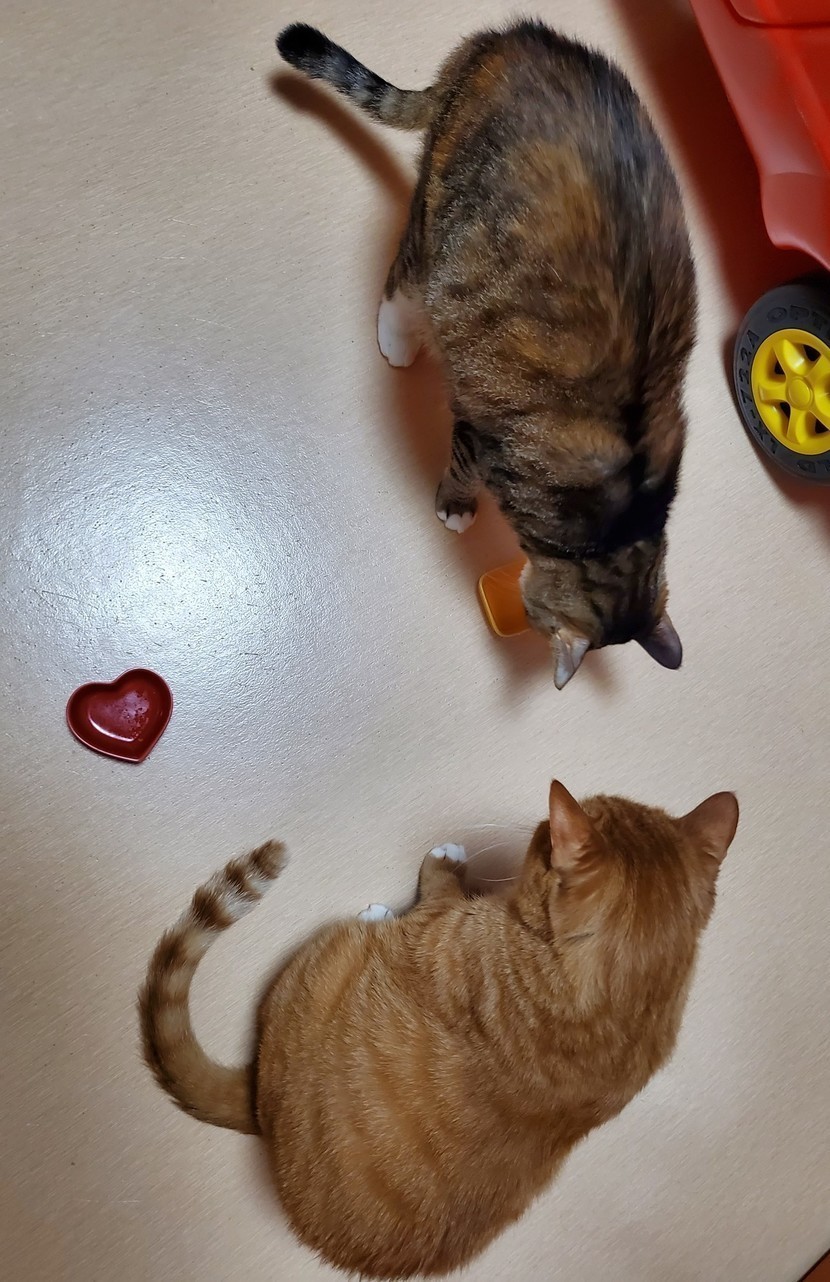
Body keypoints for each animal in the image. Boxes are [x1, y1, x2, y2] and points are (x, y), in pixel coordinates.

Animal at [140, 780, 738, 1278]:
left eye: (545, 838)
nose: (537, 826)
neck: (625, 1004)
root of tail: (262, 1104)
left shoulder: (438, 929)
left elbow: (439, 888)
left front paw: (441, 864)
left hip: (328, 952)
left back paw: (377, 914)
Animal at [276, 20, 697, 688]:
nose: (531, 624)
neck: (621, 522)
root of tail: (500, 41)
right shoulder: (486, 436)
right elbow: (461, 468)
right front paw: (455, 507)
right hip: (446, 213)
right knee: (404, 275)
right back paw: (397, 338)